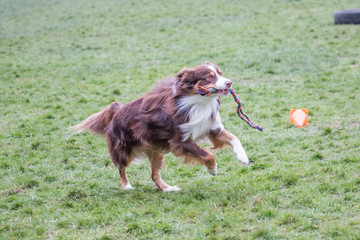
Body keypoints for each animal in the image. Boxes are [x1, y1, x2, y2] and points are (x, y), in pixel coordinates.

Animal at [71, 61, 249, 191]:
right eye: (209, 77)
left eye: (220, 73)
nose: (229, 83)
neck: (200, 102)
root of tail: (118, 109)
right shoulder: (179, 141)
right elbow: (208, 155)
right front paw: (212, 169)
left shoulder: (211, 128)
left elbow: (234, 138)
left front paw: (243, 157)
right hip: (123, 148)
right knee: (121, 167)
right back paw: (126, 186)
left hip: (155, 150)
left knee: (154, 175)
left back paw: (168, 189)